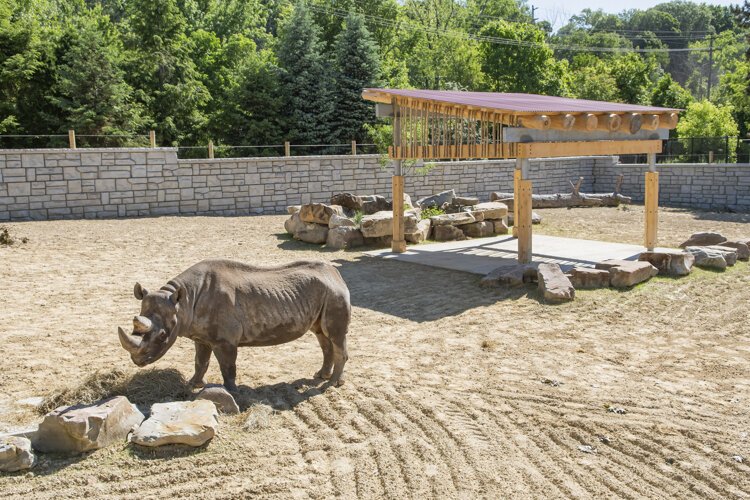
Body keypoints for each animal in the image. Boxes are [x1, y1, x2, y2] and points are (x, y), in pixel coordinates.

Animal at [117, 260, 352, 392]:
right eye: (134, 329)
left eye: (163, 335)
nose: (137, 361)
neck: (182, 302)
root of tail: (337, 274)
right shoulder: (200, 335)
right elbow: (200, 362)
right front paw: (193, 385)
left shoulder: (225, 340)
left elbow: (227, 366)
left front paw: (232, 392)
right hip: (325, 294)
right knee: (322, 335)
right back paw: (321, 376)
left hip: (334, 294)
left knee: (334, 336)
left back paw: (331, 385)